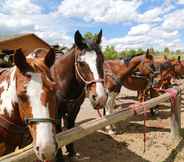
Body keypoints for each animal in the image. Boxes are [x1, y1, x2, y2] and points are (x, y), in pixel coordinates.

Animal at [51, 29, 107, 161]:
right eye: (81, 63)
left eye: (102, 59)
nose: (100, 98)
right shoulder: (55, 114)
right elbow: (58, 134)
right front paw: (59, 157)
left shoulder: (74, 109)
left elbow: (70, 129)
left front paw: (71, 152)